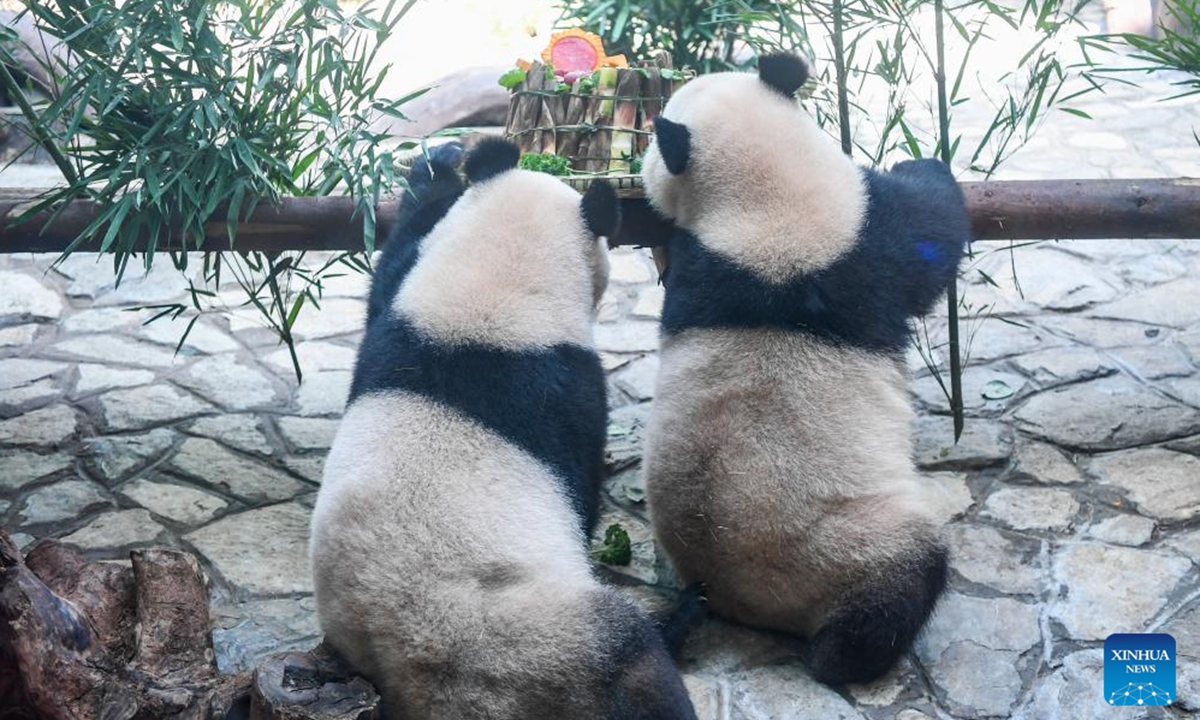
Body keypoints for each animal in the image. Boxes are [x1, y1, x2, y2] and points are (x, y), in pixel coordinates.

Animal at [643, 51, 969, 686]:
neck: (765, 200)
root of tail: (732, 594)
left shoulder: (704, 271)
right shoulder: (866, 238)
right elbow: (930, 231)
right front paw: (926, 162)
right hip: (848, 546)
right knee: (903, 578)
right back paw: (850, 656)